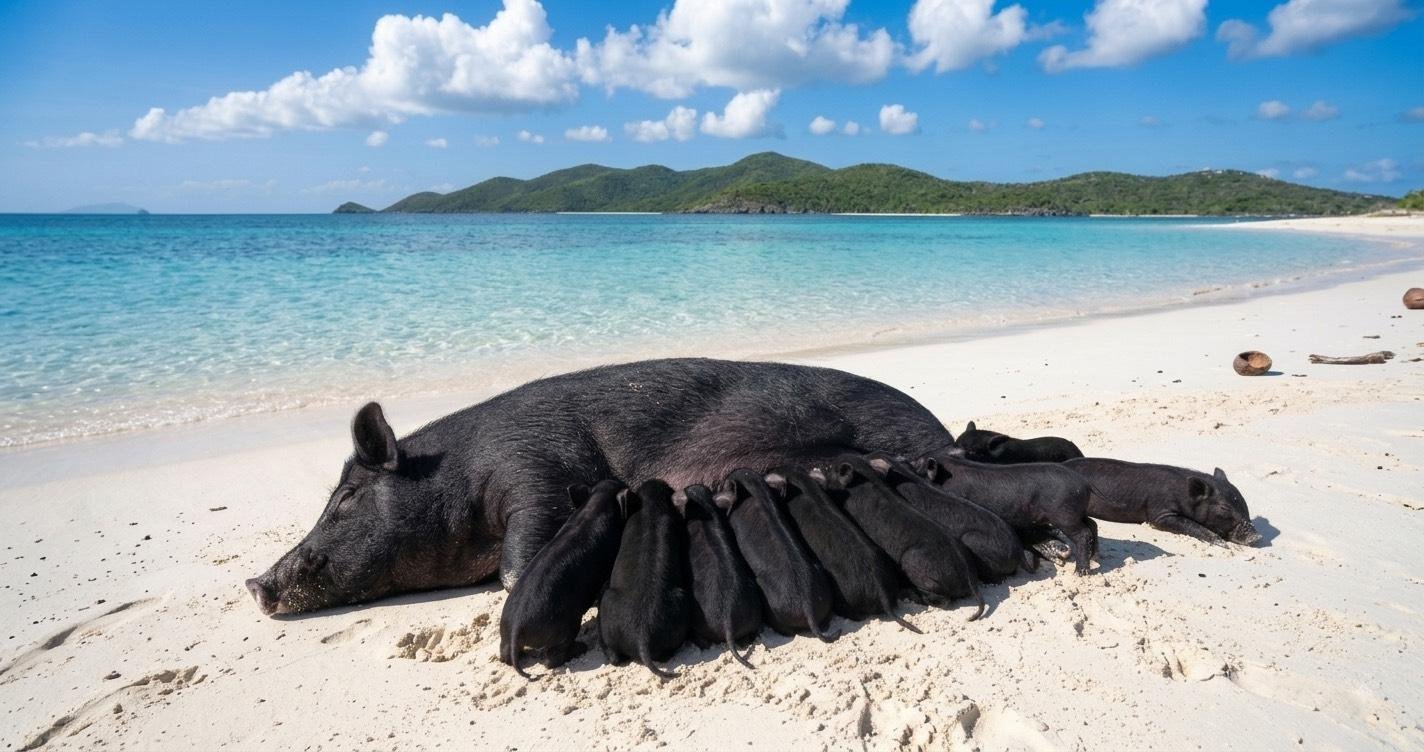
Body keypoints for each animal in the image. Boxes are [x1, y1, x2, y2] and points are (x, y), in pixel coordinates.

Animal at [499, 480, 627, 678]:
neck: (595, 505)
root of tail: (516, 630)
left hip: (505, 635)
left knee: (505, 656)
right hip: (566, 627)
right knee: (551, 660)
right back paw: (580, 648)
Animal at [913, 452, 1099, 574]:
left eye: (917, 465)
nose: (909, 461)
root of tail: (1084, 484)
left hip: (1065, 515)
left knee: (1083, 534)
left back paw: (1081, 572)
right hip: (1077, 512)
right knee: (1093, 525)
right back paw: (1095, 556)